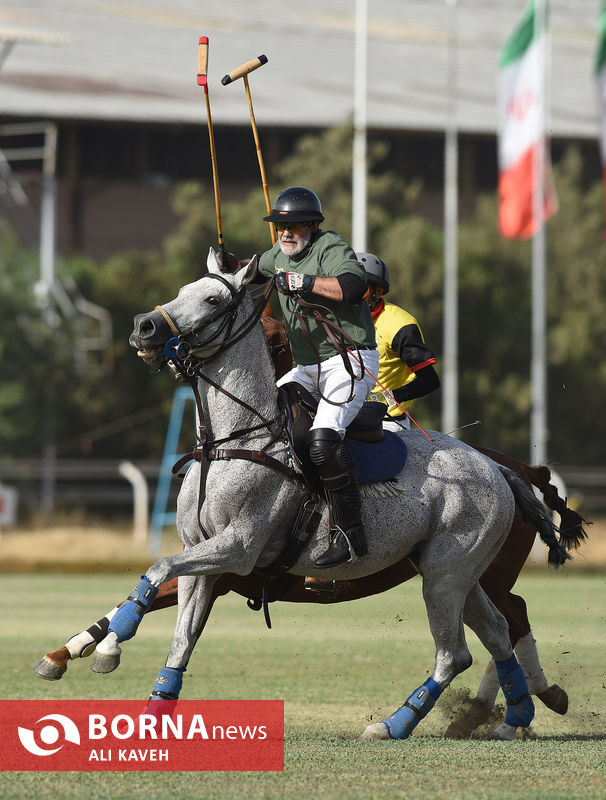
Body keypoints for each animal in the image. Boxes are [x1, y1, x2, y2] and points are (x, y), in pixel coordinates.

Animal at [38, 250, 573, 741]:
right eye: (182, 289)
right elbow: (177, 630)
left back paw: (398, 722)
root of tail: (498, 467)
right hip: (458, 571)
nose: (143, 327)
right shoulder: (203, 558)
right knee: (498, 630)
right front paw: (124, 687)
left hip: (446, 576)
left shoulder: (238, 549)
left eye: (212, 299)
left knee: (458, 651)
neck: (235, 440)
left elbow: (157, 570)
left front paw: (110, 646)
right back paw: (515, 714)